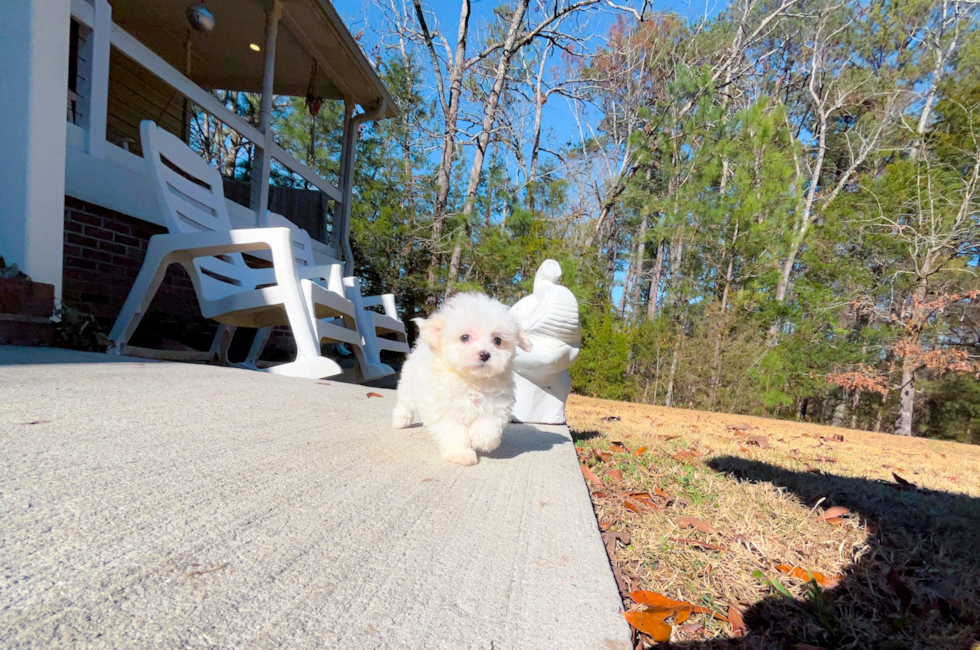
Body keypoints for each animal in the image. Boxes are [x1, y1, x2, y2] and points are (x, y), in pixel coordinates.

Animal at [390, 292, 532, 464]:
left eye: (498, 340)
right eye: (465, 337)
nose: (485, 354)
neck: (472, 381)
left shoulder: (496, 404)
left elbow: (488, 426)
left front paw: (481, 440)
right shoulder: (446, 410)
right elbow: (454, 434)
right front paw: (460, 454)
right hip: (409, 388)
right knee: (404, 405)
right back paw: (400, 421)